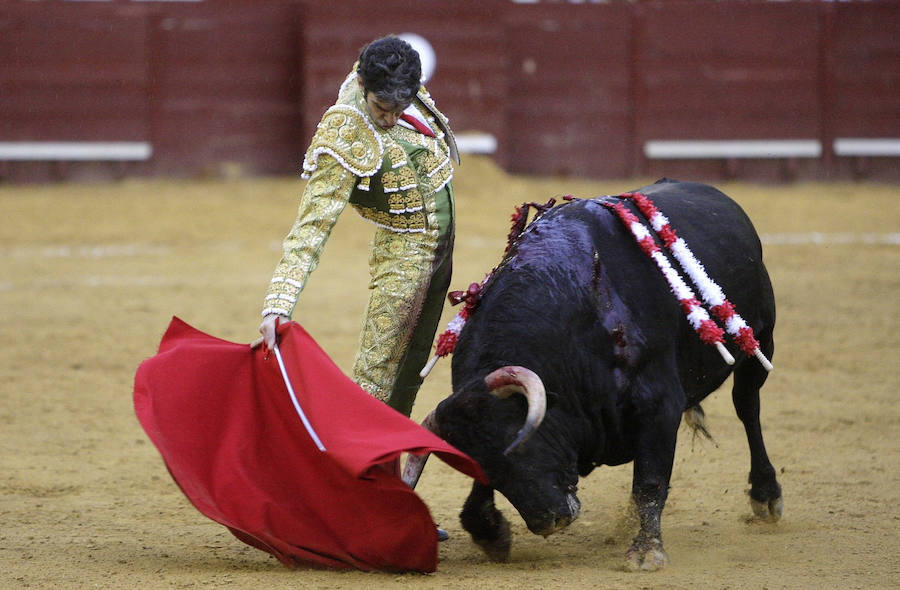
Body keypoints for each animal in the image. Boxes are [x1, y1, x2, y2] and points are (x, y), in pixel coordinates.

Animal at [404, 178, 784, 572]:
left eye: (519, 441)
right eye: (478, 462)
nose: (548, 521)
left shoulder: (660, 403)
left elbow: (650, 480)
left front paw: (646, 551)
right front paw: (491, 533)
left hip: (762, 341)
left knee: (747, 407)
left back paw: (766, 495)